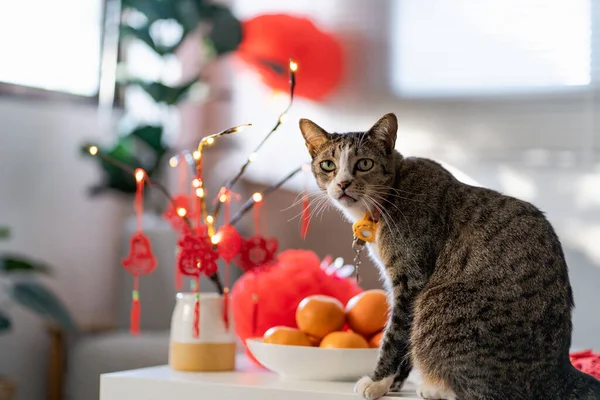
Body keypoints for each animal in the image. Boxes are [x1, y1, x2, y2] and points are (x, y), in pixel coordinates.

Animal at [300, 112, 600, 400]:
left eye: (364, 164)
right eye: (328, 165)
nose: (342, 183)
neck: (391, 194)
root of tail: (558, 371)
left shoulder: (411, 281)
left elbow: (396, 335)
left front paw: (377, 382)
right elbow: (405, 343)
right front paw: (394, 382)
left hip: (439, 303)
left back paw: (437, 388)